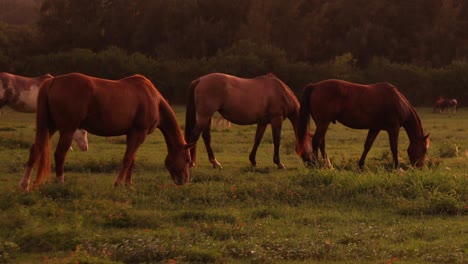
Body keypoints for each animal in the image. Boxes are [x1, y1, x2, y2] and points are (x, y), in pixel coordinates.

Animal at [19, 72, 192, 192]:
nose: (185, 182)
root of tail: (53, 81)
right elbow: (127, 159)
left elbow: (132, 160)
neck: (154, 100)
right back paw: (60, 183)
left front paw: (128, 185)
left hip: (50, 126)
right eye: (187, 160)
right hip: (67, 129)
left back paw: (24, 184)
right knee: (60, 154)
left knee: (36, 149)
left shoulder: (132, 134)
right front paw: (118, 183)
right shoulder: (139, 134)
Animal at [298, 79, 430, 169]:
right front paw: (396, 167)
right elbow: (394, 148)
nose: (420, 167)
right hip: (323, 123)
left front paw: (361, 165)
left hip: (323, 124)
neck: (398, 102)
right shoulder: (394, 129)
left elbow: (368, 145)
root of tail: (315, 86)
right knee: (316, 141)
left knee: (321, 142)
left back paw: (328, 165)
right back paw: (316, 164)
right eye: (424, 150)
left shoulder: (375, 128)